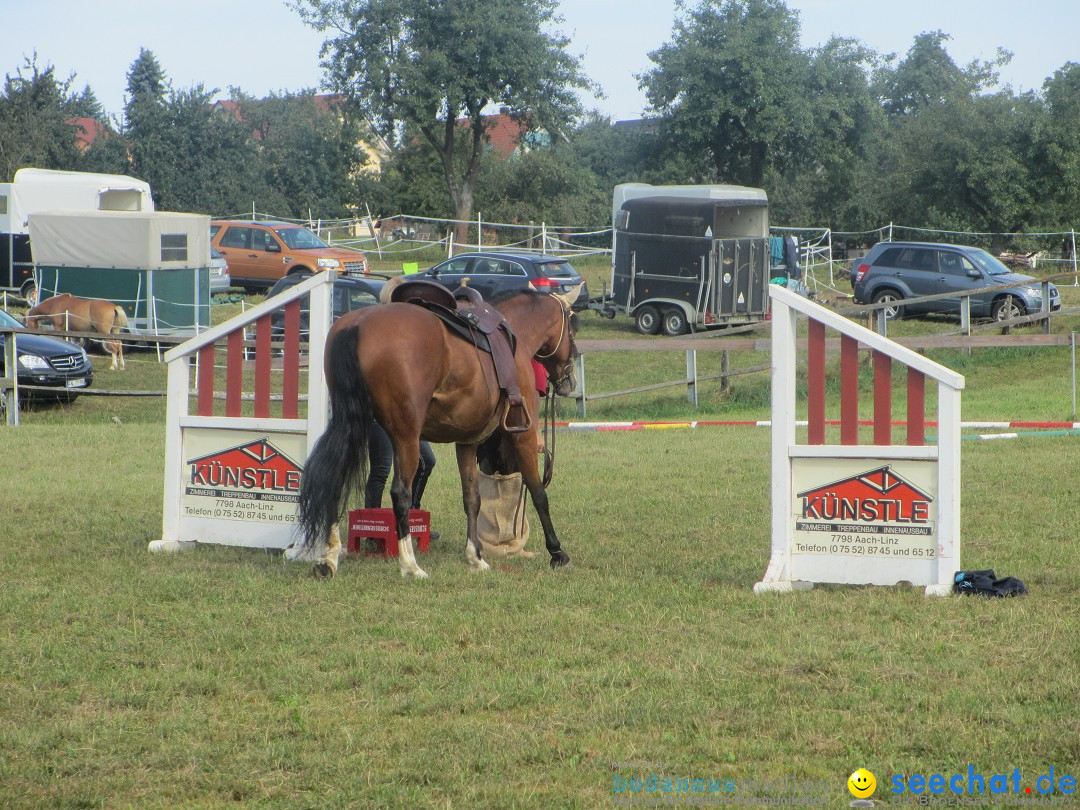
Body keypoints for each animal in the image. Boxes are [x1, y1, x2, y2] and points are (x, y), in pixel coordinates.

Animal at [293, 282, 583, 578]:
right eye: (574, 327)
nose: (569, 380)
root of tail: (358, 324)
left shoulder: (467, 442)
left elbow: (472, 498)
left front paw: (475, 557)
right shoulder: (522, 435)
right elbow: (538, 492)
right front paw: (557, 552)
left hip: (351, 425)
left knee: (335, 479)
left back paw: (329, 558)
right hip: (405, 437)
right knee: (400, 493)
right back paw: (410, 565)